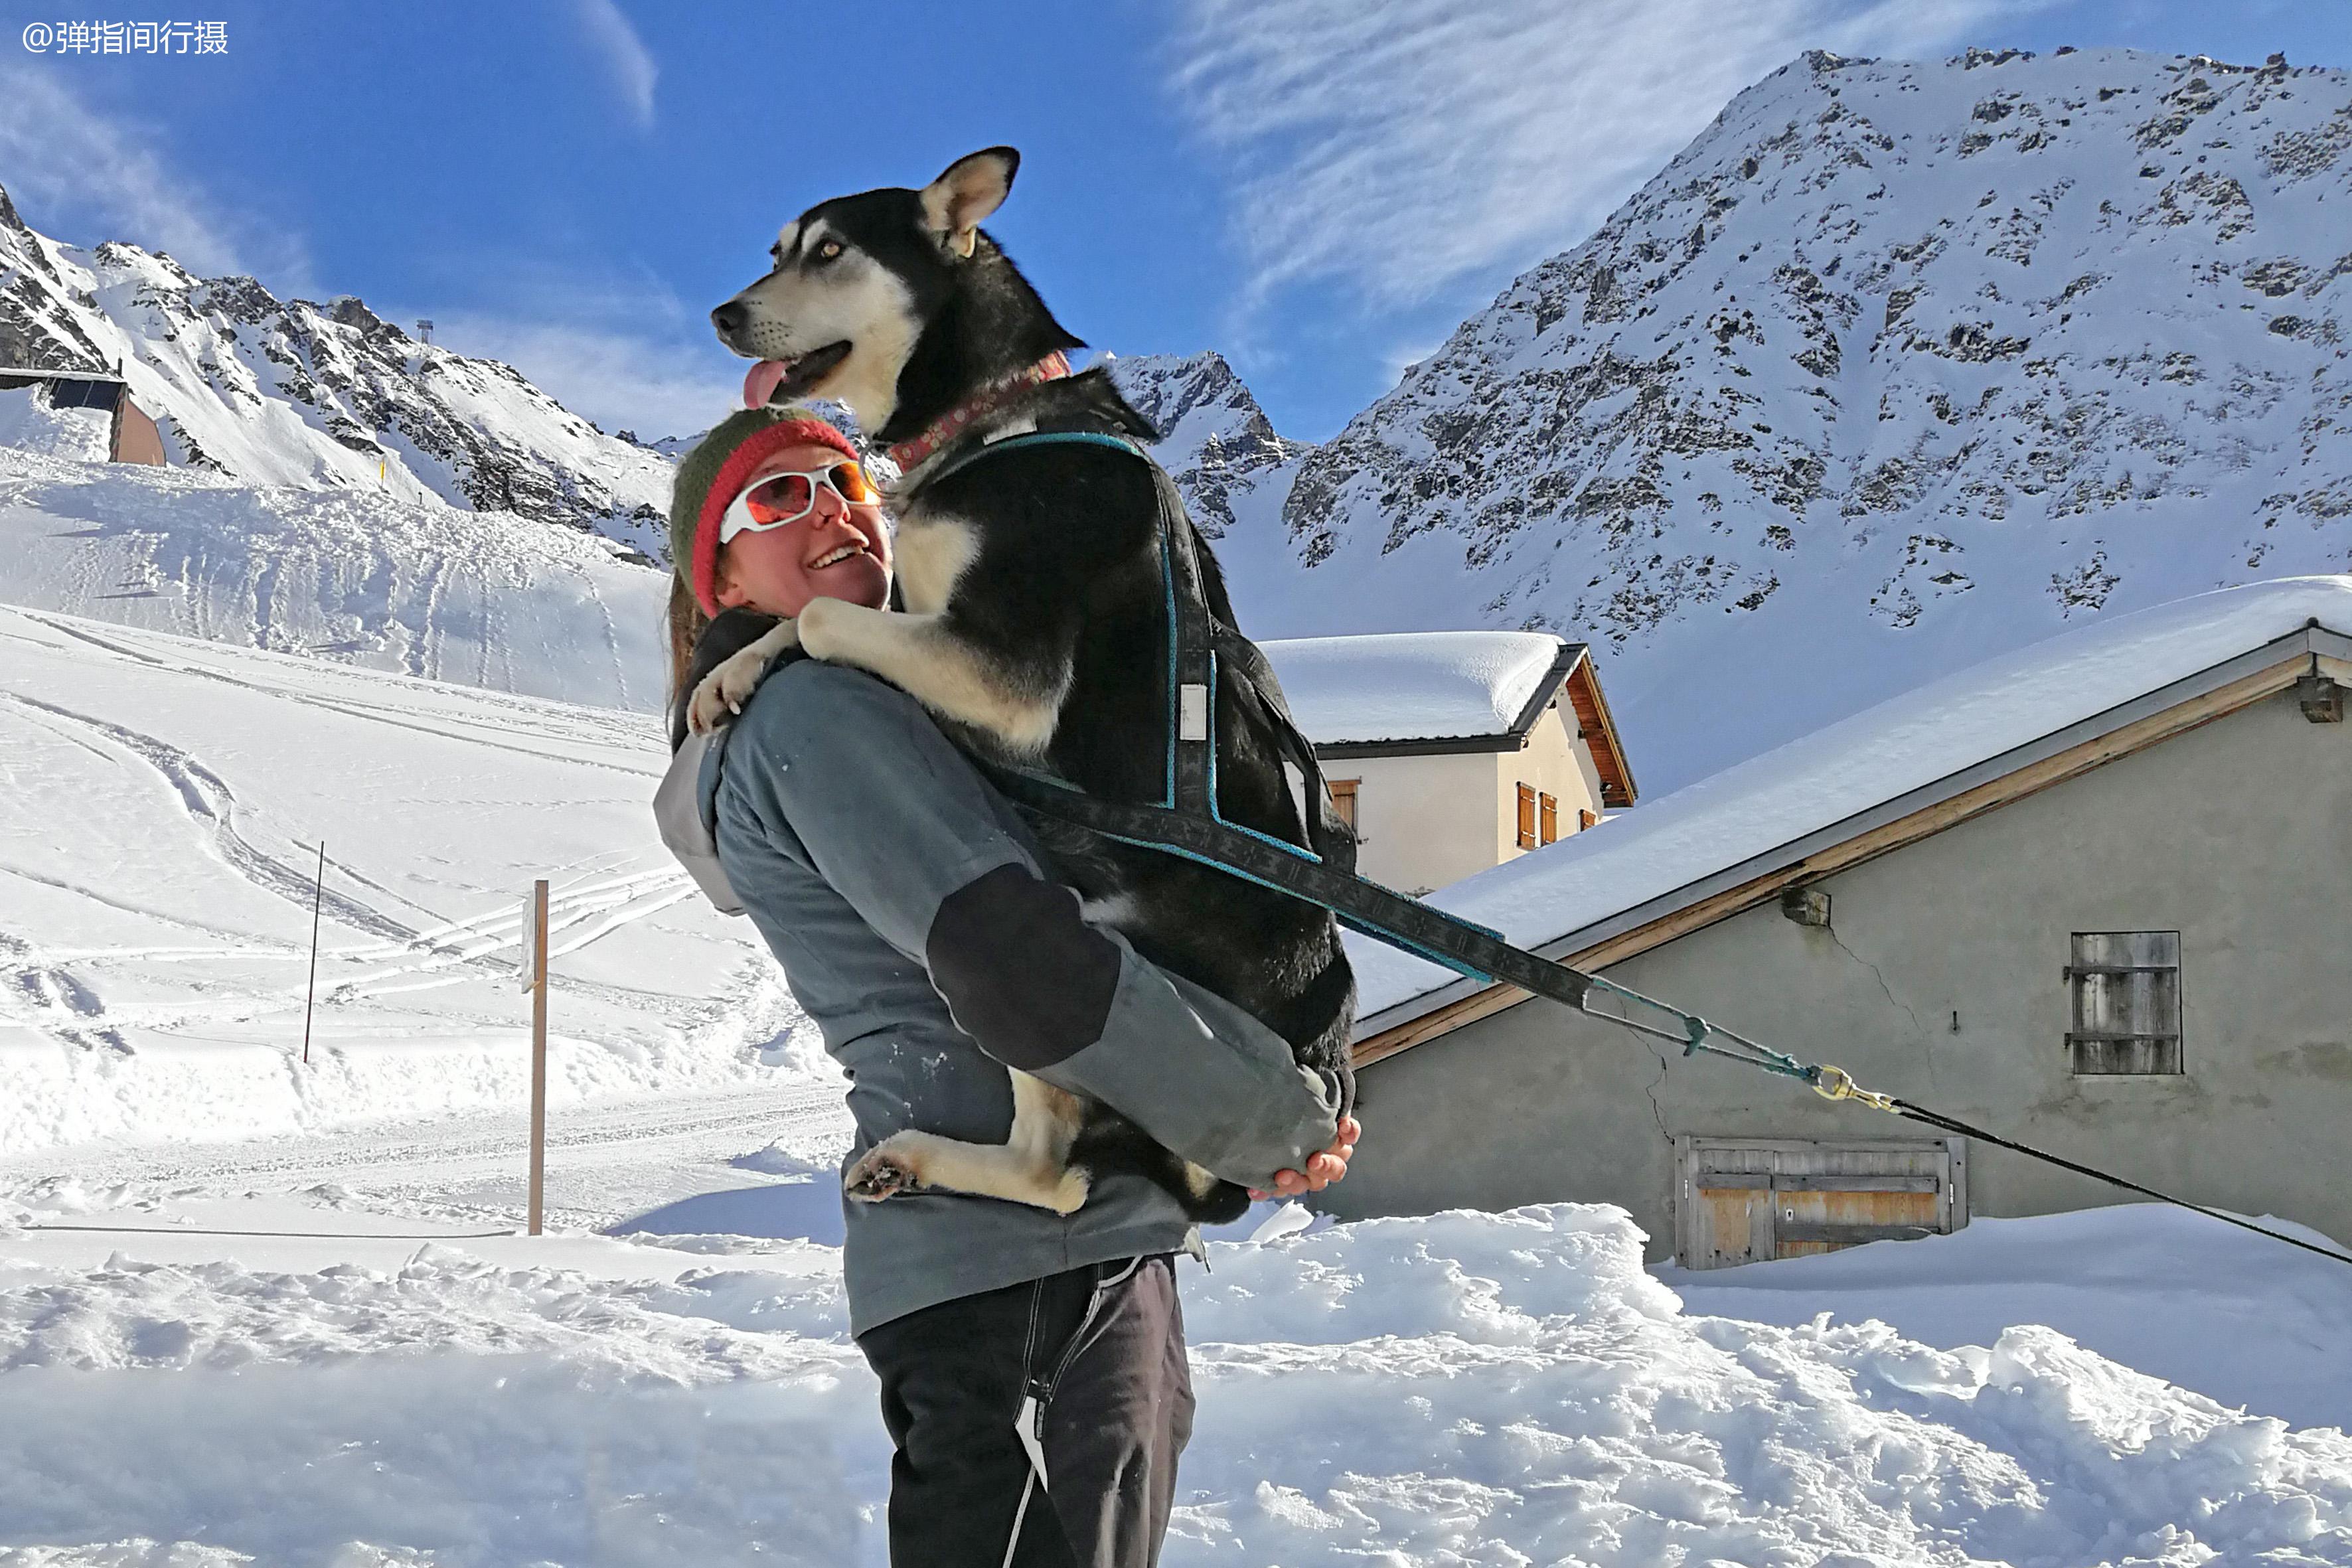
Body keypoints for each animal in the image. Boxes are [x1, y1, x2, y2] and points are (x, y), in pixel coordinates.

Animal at [696, 150, 1354, 1222]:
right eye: (776, 250)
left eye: (830, 251)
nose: (721, 314)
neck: (992, 418)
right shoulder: (919, 614)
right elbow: (819, 615)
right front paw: (731, 668)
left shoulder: (1007, 675)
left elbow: (825, 614)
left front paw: (754, 655)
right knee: (1056, 1179)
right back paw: (908, 1162)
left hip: (1063, 957)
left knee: (1057, 1176)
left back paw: (921, 1155)